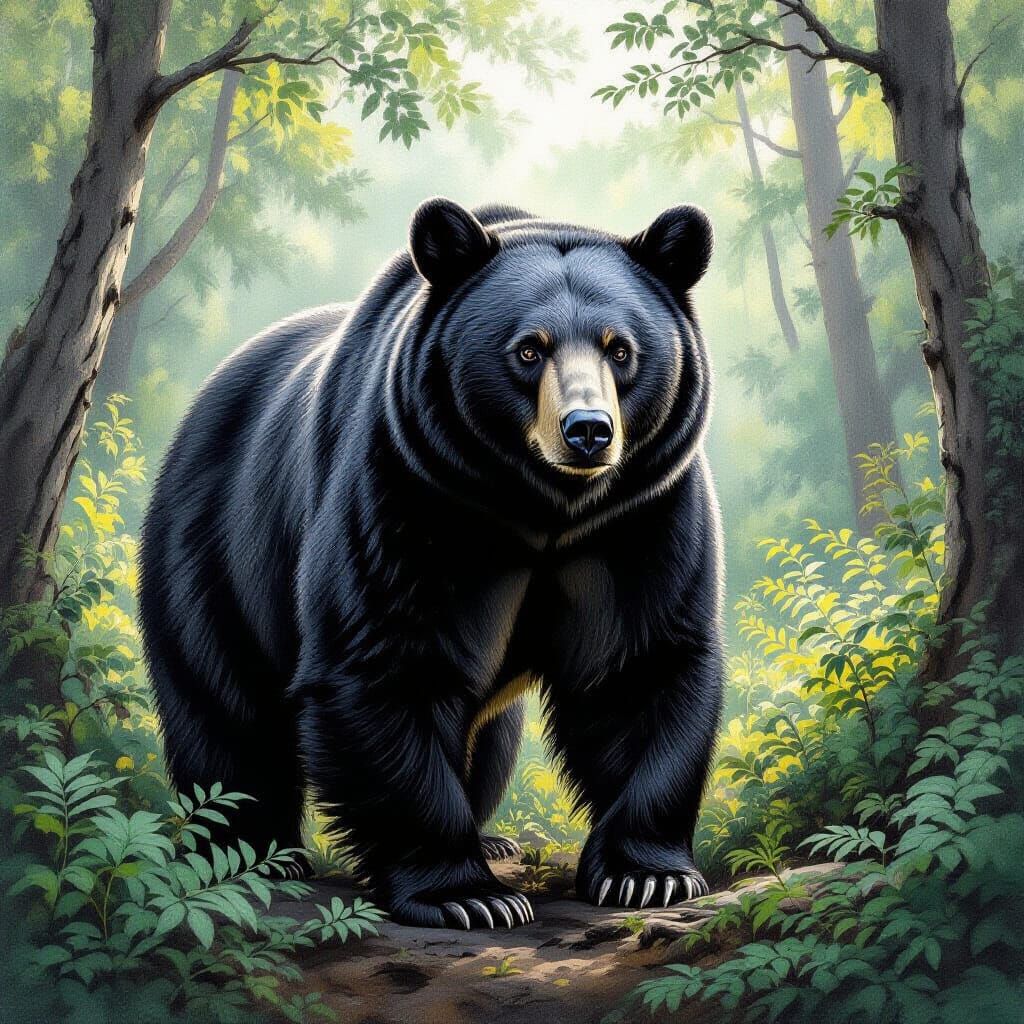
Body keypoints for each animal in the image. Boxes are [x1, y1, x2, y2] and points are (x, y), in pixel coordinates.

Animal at [138, 198, 724, 930]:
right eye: (528, 349)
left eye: (620, 349)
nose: (588, 430)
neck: (543, 510)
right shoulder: (407, 493)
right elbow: (386, 662)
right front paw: (467, 895)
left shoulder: (640, 516)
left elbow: (642, 669)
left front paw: (647, 876)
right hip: (213, 551)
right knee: (224, 710)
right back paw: (254, 854)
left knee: (492, 737)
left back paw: (492, 834)